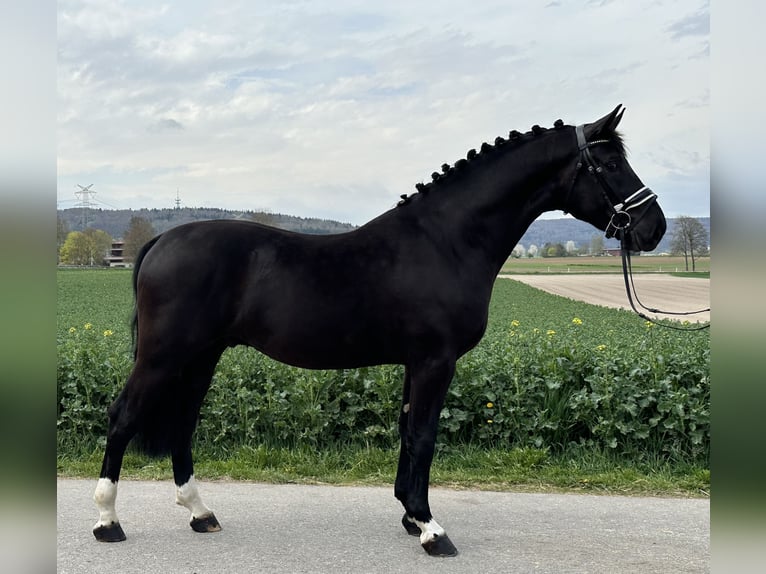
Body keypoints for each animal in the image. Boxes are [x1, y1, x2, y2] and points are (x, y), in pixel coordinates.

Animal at [92, 105, 666, 557]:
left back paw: (200, 513)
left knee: (182, 424)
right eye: (610, 164)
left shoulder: (418, 363)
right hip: (164, 355)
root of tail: (161, 241)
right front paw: (432, 530)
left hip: (200, 356)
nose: (654, 228)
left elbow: (408, 432)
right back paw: (107, 521)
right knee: (123, 417)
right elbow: (425, 436)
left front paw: (411, 516)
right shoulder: (436, 362)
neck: (446, 240)